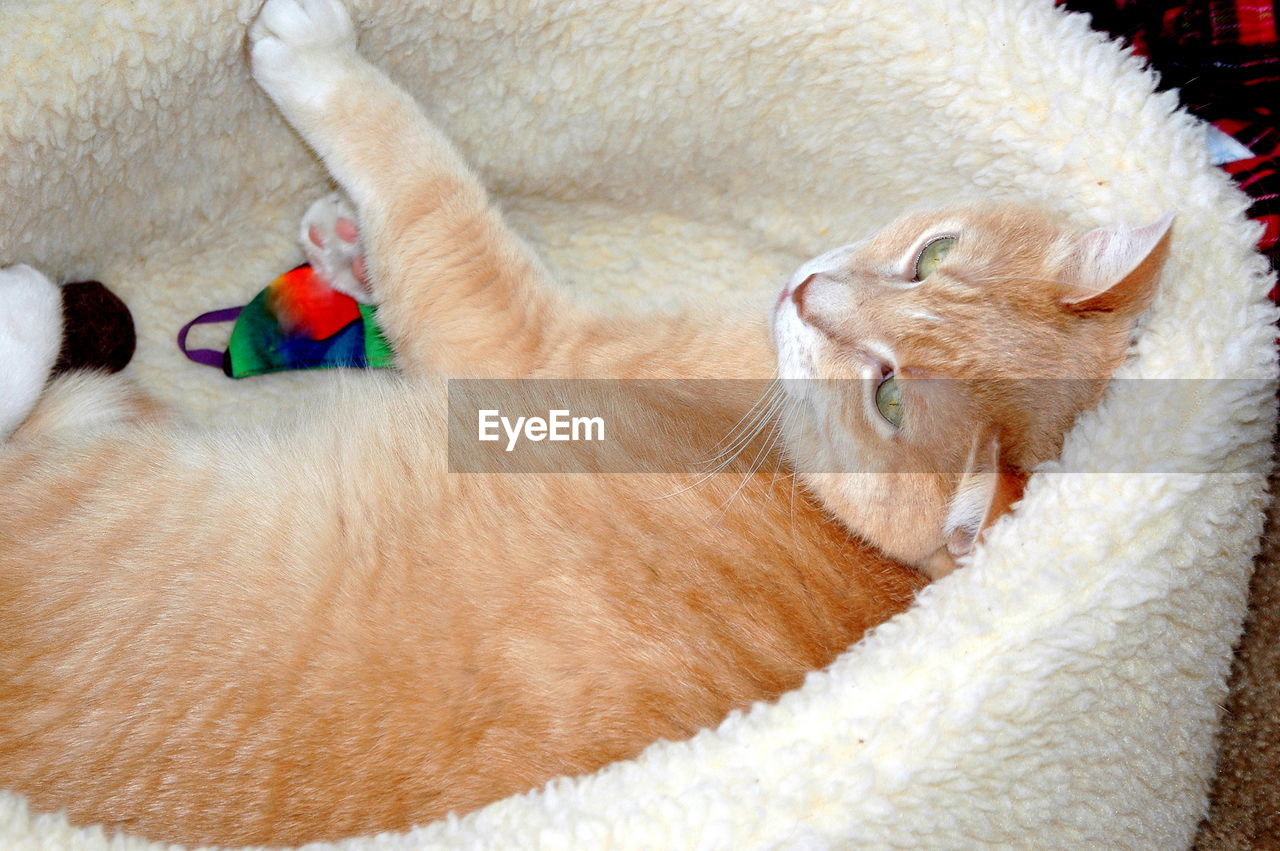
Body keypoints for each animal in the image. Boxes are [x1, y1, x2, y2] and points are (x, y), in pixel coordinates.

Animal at [0, 0, 1172, 844]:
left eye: (889, 394)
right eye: (931, 254)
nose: (807, 294)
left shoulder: (515, 334)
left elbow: (419, 179)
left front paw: (319, 66)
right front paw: (343, 251)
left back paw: (27, 299)